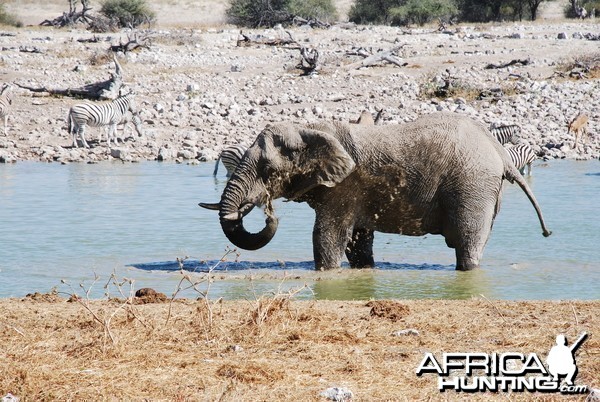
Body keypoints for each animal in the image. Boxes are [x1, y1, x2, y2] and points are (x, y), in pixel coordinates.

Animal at [199, 111, 552, 272]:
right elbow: (357, 242)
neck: (311, 129)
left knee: (467, 245)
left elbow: (327, 237)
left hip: (472, 184)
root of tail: (501, 153)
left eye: (269, 171)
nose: (268, 212)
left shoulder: (343, 186)